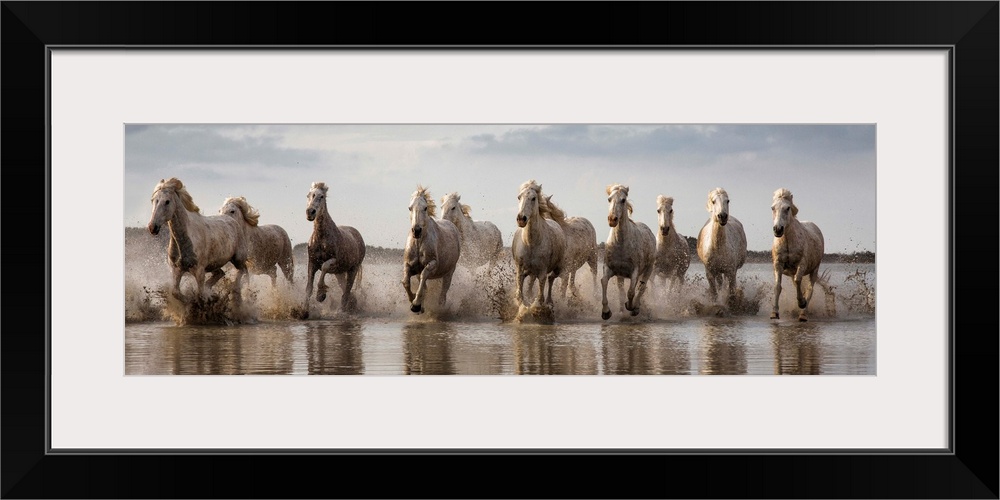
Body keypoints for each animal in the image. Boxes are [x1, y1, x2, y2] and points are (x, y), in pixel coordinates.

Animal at [306, 182, 370, 314]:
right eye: (308, 195)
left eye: (321, 196)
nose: (310, 212)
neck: (321, 237)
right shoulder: (312, 262)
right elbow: (308, 288)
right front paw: (303, 310)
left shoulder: (333, 261)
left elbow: (324, 267)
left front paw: (321, 295)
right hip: (339, 272)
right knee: (345, 288)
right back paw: (352, 302)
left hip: (353, 269)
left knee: (347, 289)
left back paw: (342, 309)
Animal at [400, 186, 462, 314]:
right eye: (410, 208)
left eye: (425, 208)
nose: (416, 230)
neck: (419, 243)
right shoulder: (409, 265)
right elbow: (406, 282)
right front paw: (414, 301)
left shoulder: (432, 264)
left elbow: (424, 276)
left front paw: (416, 304)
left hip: (449, 272)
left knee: (443, 292)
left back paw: (440, 307)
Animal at [512, 180, 568, 308]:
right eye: (519, 197)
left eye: (533, 198)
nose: (521, 219)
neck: (530, 243)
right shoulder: (520, 268)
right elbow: (520, 291)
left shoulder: (542, 270)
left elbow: (540, 295)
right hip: (531, 271)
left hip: (558, 268)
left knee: (551, 278)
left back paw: (550, 301)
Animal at [600, 185, 656, 320]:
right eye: (609, 199)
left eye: (623, 200)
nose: (612, 219)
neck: (621, 244)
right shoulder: (610, 268)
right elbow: (604, 282)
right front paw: (606, 312)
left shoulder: (634, 271)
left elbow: (631, 292)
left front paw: (631, 307)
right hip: (620, 276)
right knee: (622, 290)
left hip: (649, 269)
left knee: (642, 287)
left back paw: (636, 308)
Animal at [768, 187, 824, 320]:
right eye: (773, 207)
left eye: (787, 208)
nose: (778, 229)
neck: (788, 241)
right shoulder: (778, 264)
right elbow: (777, 286)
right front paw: (774, 313)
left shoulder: (801, 264)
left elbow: (799, 281)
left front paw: (801, 302)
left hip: (815, 269)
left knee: (810, 289)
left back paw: (803, 314)